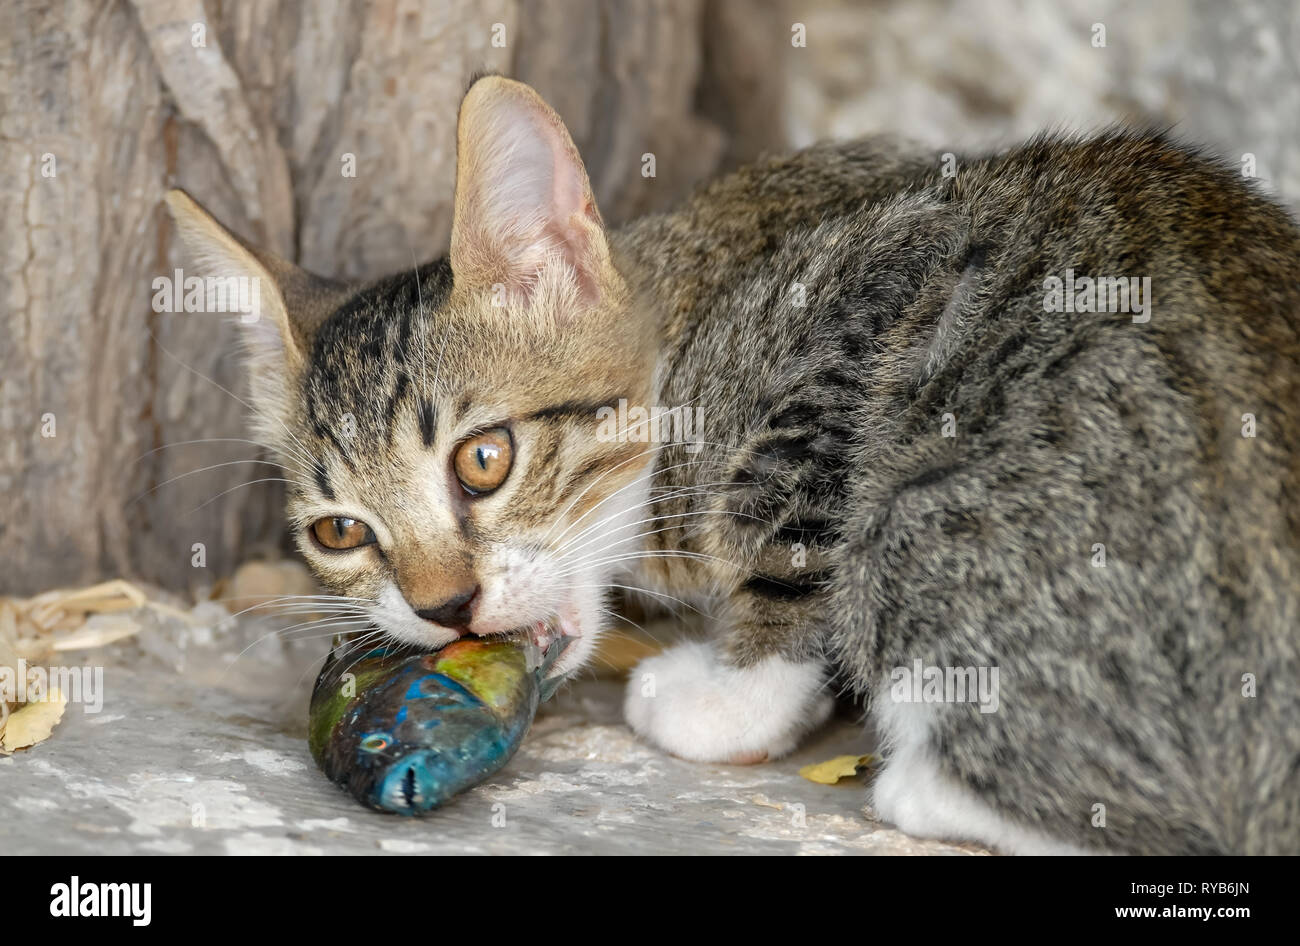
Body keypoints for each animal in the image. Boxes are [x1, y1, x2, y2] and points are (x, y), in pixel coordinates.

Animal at [167, 77, 1294, 852]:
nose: (443, 607)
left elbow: (783, 532)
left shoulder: (858, 314)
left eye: (484, 459)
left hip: (936, 499)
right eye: (341, 533)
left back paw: (919, 778)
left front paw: (732, 694)